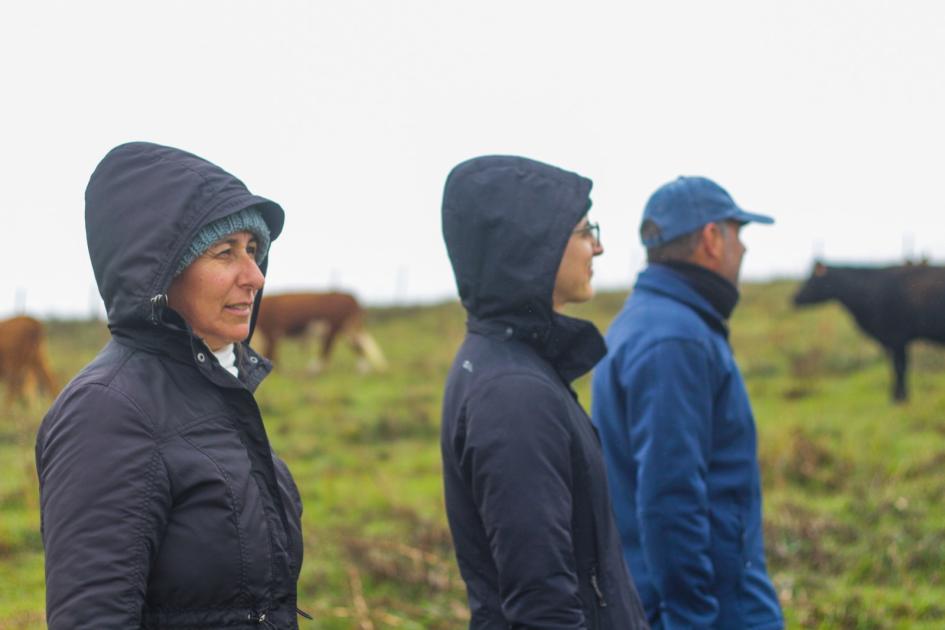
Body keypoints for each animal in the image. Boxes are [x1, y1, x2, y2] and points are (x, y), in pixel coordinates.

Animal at [792, 262, 944, 404]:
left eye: (812, 279)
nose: (794, 298)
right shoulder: (892, 341)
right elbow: (894, 367)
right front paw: (896, 396)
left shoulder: (897, 337)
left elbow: (899, 367)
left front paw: (900, 398)